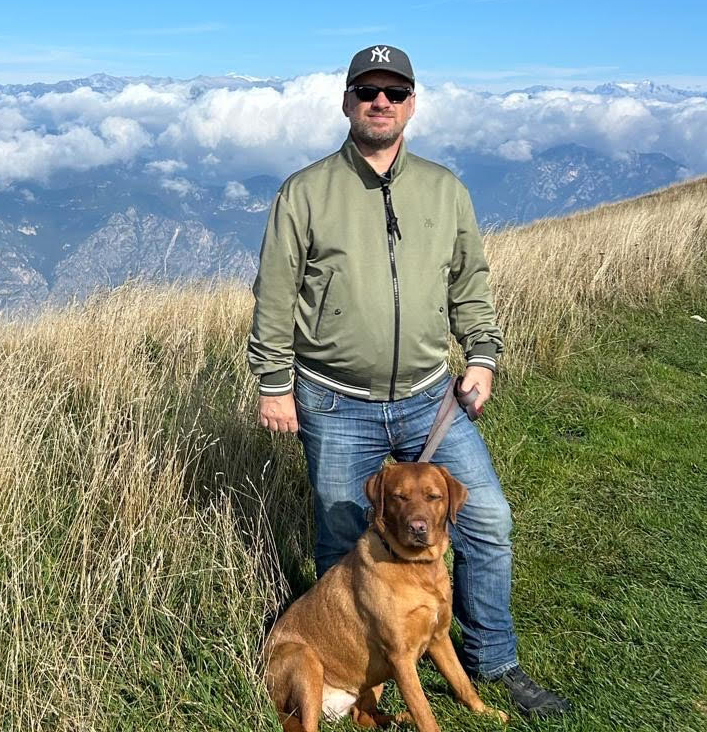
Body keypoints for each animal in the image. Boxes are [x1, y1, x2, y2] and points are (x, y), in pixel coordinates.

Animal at [265, 462, 508, 731]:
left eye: (434, 497)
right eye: (398, 497)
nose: (417, 528)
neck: (416, 567)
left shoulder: (439, 638)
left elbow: (462, 682)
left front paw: (486, 713)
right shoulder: (400, 656)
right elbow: (424, 710)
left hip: (373, 679)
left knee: (364, 718)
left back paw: (400, 718)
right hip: (304, 660)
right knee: (310, 724)